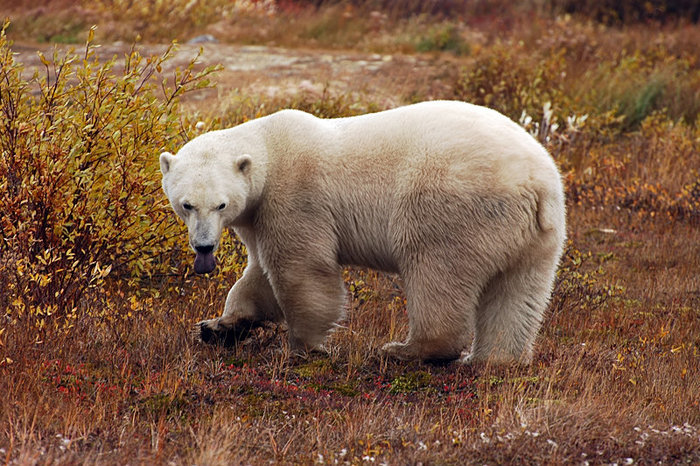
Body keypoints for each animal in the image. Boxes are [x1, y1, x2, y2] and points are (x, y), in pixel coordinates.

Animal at [159, 101, 564, 364]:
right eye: (186, 204)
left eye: (220, 204)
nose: (204, 247)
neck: (270, 147)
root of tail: (535, 183)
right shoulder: (259, 217)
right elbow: (257, 278)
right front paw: (219, 326)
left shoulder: (296, 198)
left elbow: (301, 271)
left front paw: (303, 346)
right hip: (536, 236)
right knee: (518, 294)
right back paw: (493, 360)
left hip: (451, 208)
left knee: (437, 274)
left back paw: (407, 350)